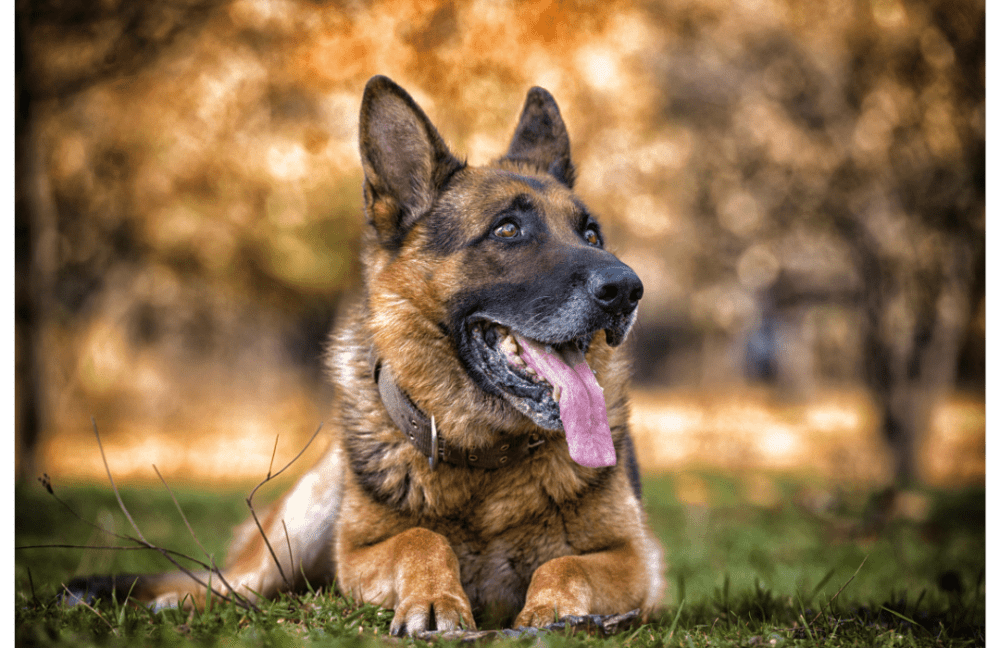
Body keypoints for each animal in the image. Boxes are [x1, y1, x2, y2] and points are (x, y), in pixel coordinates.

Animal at [68, 74, 664, 632]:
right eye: (508, 229)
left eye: (592, 234)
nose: (627, 289)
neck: (485, 463)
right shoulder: (356, 554)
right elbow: (420, 537)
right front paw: (434, 598)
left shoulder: (639, 563)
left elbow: (565, 564)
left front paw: (549, 611)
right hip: (296, 528)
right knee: (229, 584)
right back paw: (169, 602)